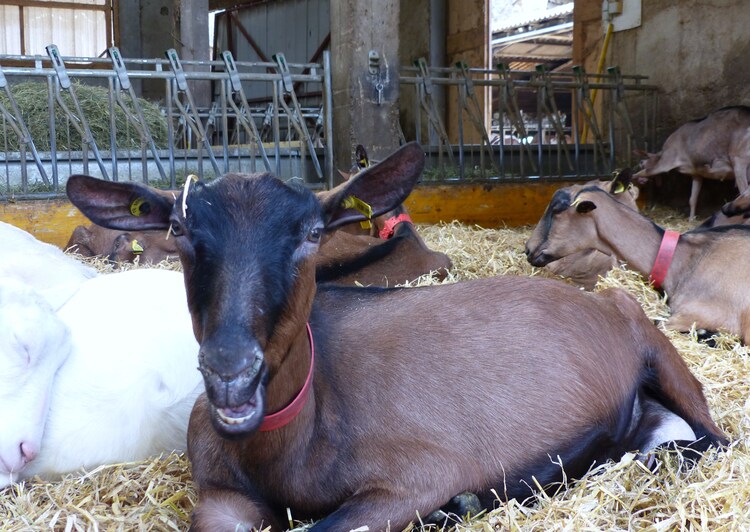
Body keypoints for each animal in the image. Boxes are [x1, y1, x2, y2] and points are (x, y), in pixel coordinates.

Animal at [67, 140, 724, 532]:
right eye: (178, 229)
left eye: (312, 232)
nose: (231, 370)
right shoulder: (218, 494)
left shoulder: (419, 472)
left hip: (654, 347)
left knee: (713, 441)